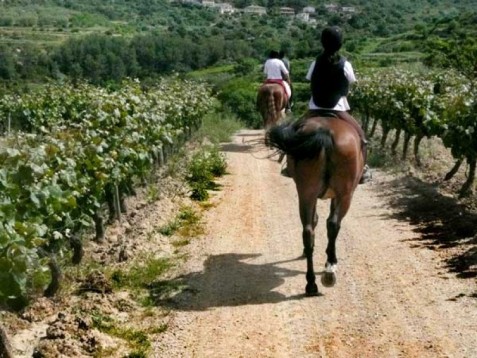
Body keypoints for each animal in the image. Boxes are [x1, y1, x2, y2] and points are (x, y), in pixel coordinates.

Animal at [266, 115, 362, 296]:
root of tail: (325, 131)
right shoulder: (340, 195)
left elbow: (315, 220)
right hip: (345, 194)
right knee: (333, 224)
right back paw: (329, 269)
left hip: (306, 192)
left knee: (308, 230)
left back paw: (311, 283)